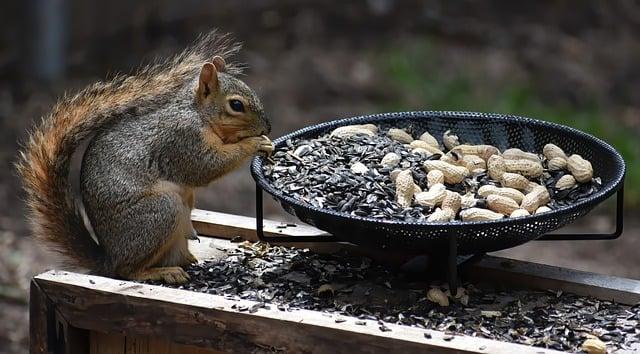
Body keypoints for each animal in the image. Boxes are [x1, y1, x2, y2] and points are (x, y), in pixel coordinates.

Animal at [17, 31, 272, 284]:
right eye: (236, 105)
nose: (267, 127)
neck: (198, 113)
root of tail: (109, 259)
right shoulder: (181, 139)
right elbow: (205, 167)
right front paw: (254, 143)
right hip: (159, 213)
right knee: (128, 271)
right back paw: (163, 272)